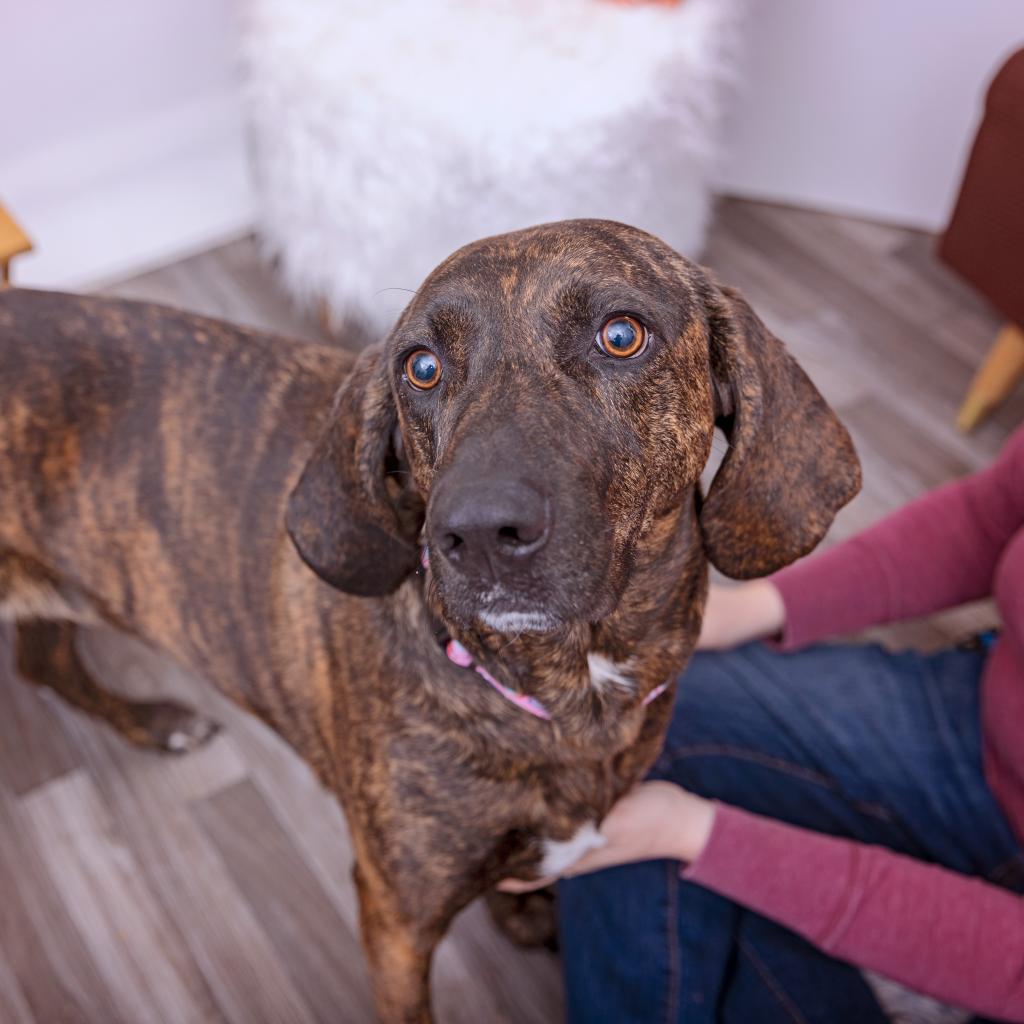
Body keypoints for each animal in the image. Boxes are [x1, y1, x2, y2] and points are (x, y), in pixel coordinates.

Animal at [2, 220, 856, 1019]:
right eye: (421, 365)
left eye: (621, 334)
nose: (475, 532)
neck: (567, 695)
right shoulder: (395, 923)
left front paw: (520, 914)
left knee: (42, 661)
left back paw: (153, 723)